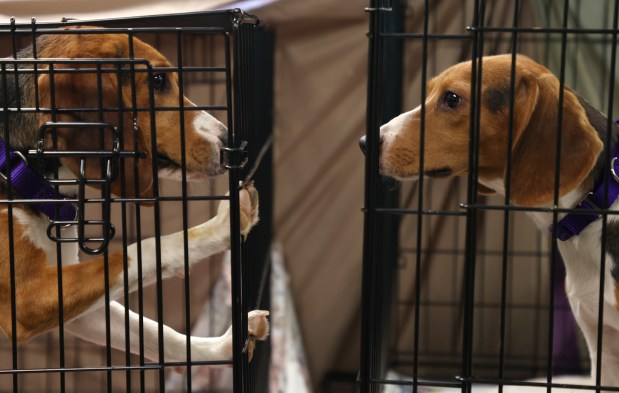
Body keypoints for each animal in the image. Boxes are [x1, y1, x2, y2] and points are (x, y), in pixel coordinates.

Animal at [1, 30, 268, 364]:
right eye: (157, 80)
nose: (233, 143)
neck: (23, 165)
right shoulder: (26, 297)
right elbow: (144, 249)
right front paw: (222, 227)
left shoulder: (65, 296)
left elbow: (155, 333)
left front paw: (221, 348)